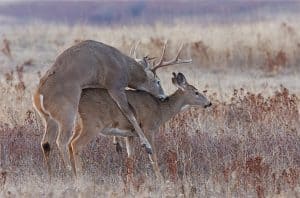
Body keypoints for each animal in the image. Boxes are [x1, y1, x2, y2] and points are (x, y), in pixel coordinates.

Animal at [32, 39, 191, 175]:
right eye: (157, 81)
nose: (163, 97)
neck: (124, 67)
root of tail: (39, 94)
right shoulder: (115, 85)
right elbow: (128, 112)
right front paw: (146, 145)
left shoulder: (100, 87)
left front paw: (117, 144)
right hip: (67, 113)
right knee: (62, 142)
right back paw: (71, 172)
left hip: (49, 119)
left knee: (46, 143)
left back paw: (51, 175)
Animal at [70, 72, 212, 178]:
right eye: (196, 92)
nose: (209, 103)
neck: (161, 109)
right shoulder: (148, 128)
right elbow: (153, 156)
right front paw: (160, 179)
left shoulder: (130, 134)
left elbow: (130, 158)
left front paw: (129, 182)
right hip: (92, 123)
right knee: (75, 144)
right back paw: (80, 177)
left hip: (79, 124)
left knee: (68, 143)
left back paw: (72, 174)